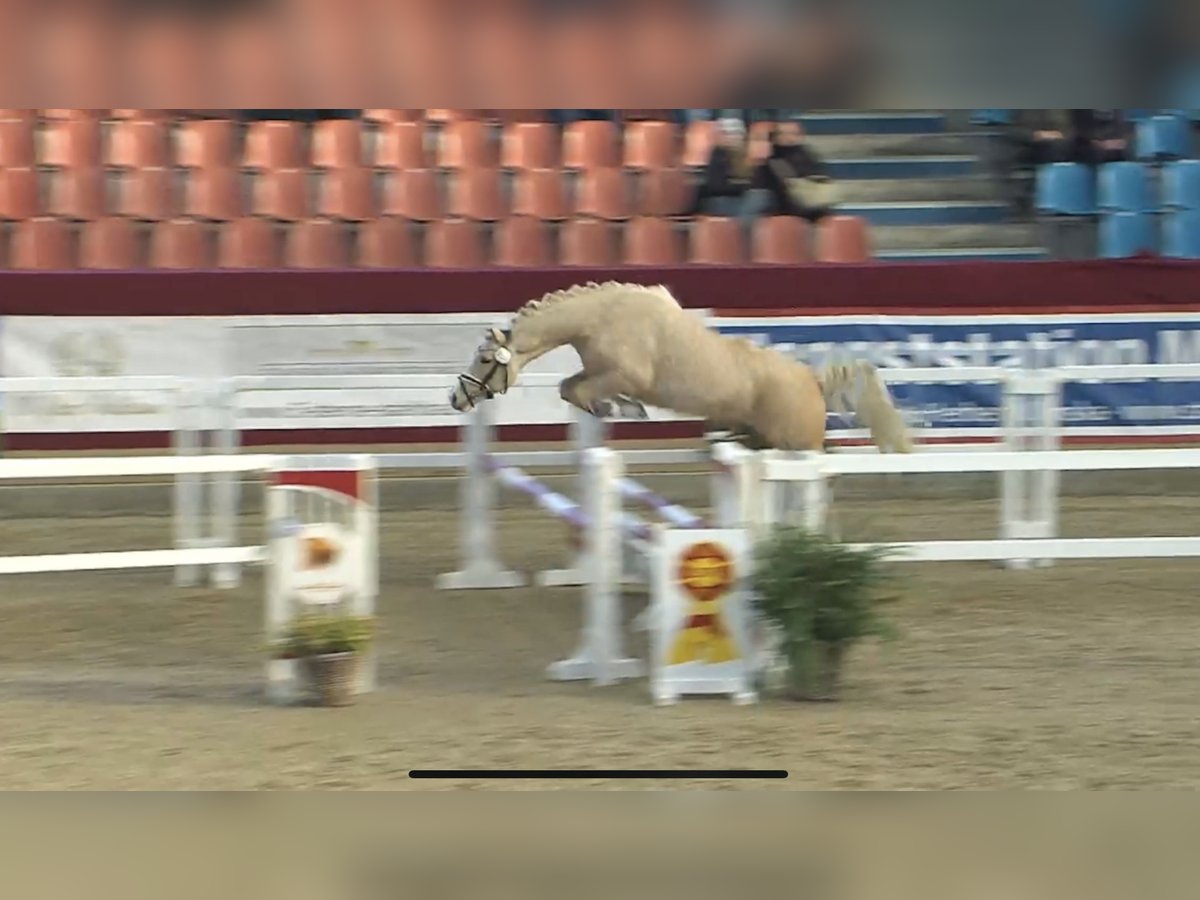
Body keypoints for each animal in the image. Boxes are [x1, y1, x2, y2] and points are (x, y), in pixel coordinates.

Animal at [448, 282, 907, 453]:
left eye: (486, 359)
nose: (455, 398)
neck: (601, 318)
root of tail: (812, 379)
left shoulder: (623, 374)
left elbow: (581, 392)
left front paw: (619, 409)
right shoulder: (599, 372)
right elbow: (569, 388)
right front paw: (619, 409)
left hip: (797, 444)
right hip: (766, 440)